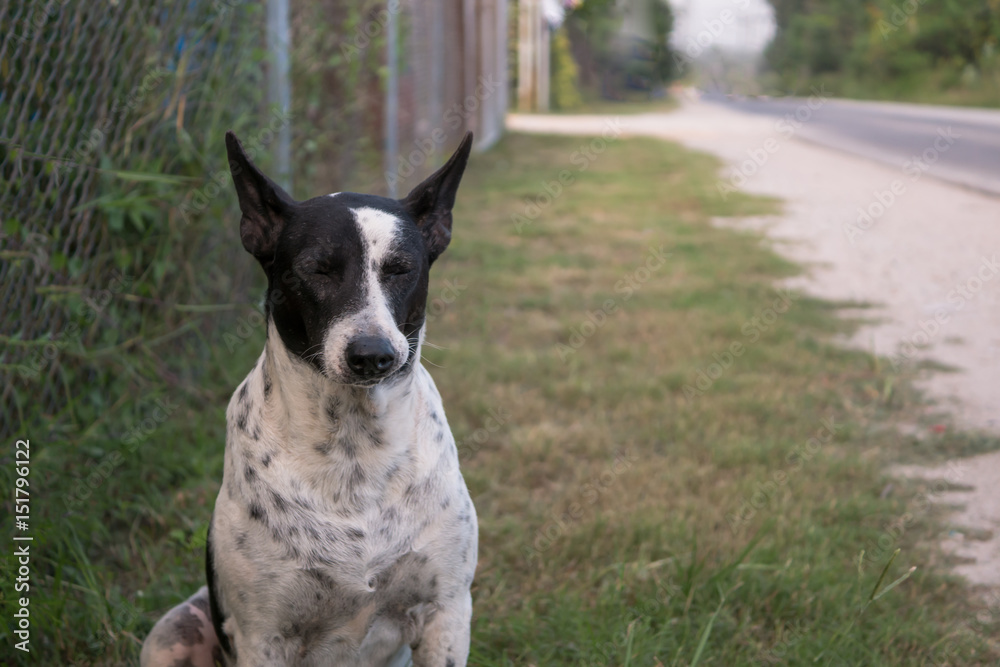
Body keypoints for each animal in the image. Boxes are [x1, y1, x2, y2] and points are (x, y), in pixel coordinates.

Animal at [142, 132, 480, 667]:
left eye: (401, 270)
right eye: (316, 270)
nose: (373, 355)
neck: (353, 448)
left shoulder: (446, 613)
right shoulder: (264, 637)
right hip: (170, 634)